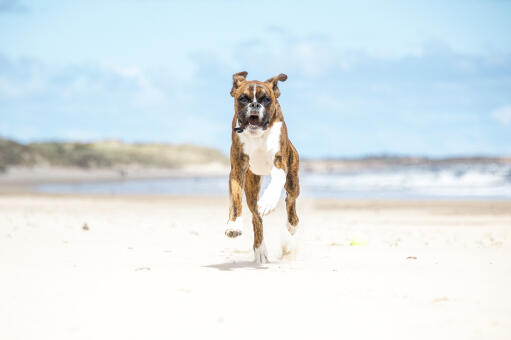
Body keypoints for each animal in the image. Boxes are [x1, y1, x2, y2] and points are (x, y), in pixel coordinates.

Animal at [225, 71, 300, 262]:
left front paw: (268, 201)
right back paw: (260, 249)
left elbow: (276, 182)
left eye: (266, 99)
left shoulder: (280, 163)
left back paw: (292, 224)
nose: (254, 104)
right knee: (256, 217)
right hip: (251, 186)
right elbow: (235, 202)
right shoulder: (237, 171)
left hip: (293, 181)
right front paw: (233, 225)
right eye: (243, 99)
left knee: (290, 199)